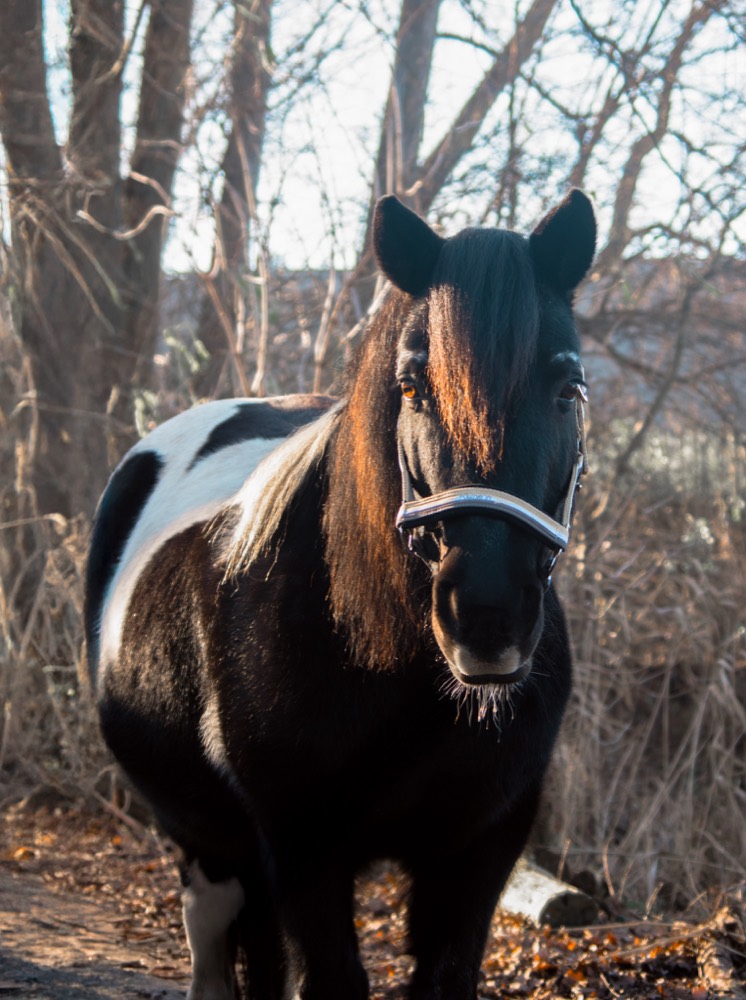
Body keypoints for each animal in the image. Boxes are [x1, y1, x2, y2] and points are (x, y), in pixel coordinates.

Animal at [85, 189, 596, 1000]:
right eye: (412, 387)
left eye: (567, 389)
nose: (487, 614)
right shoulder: (303, 849)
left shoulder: (478, 852)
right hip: (208, 845)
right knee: (214, 945)